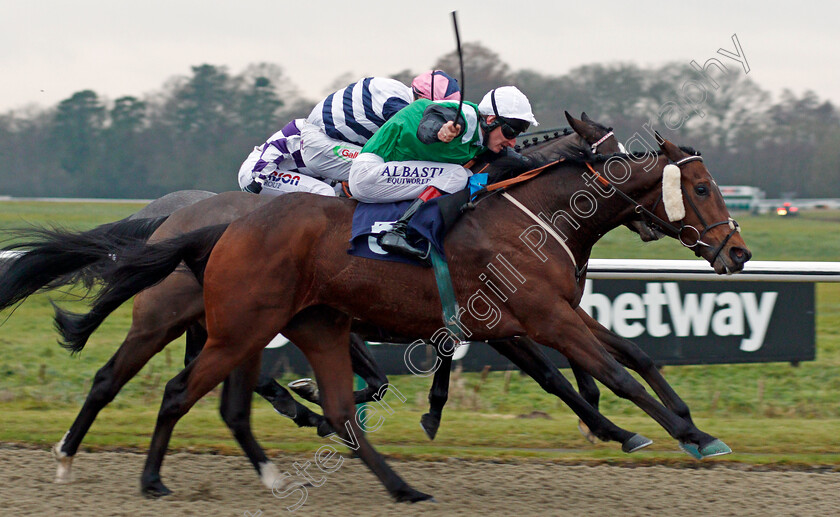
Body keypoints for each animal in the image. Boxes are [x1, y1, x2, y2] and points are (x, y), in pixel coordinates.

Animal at [77, 134, 748, 500]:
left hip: (247, 323)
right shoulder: (537, 318)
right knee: (123, 378)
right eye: (704, 189)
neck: (531, 215)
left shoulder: (540, 314)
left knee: (224, 392)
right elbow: (607, 375)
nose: (737, 253)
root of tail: (195, 220)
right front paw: (679, 433)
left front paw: (679, 424)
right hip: (186, 317)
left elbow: (629, 356)